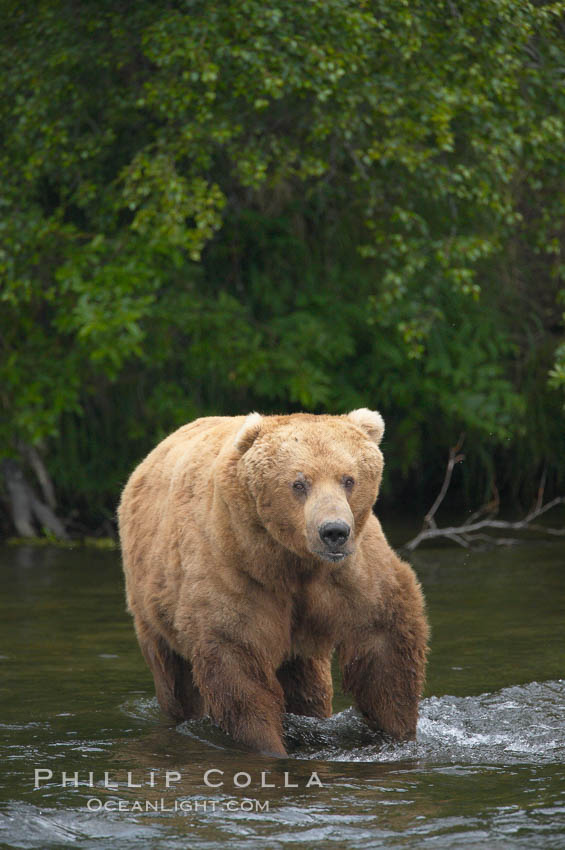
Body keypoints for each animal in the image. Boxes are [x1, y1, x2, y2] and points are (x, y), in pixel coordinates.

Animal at [118, 410, 428, 756]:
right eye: (299, 483)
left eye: (348, 479)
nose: (334, 531)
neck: (291, 560)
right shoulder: (238, 570)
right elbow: (238, 663)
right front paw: (269, 744)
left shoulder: (350, 575)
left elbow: (384, 641)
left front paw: (397, 732)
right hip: (152, 603)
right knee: (174, 677)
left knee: (308, 682)